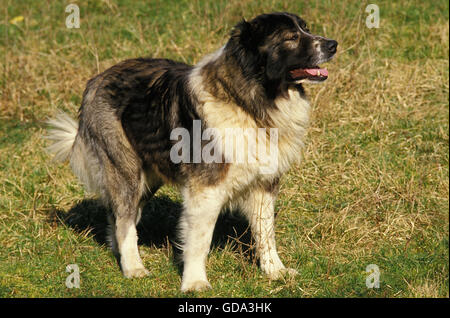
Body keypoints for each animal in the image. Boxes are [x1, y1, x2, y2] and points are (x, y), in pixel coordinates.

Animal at [46, 11, 338, 290]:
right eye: (291, 37)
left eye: (306, 29)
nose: (333, 44)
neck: (248, 101)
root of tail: (96, 80)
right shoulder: (205, 189)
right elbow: (199, 240)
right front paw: (195, 282)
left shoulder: (264, 184)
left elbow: (265, 232)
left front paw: (274, 271)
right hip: (126, 169)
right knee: (125, 221)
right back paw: (134, 268)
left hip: (146, 177)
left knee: (118, 216)